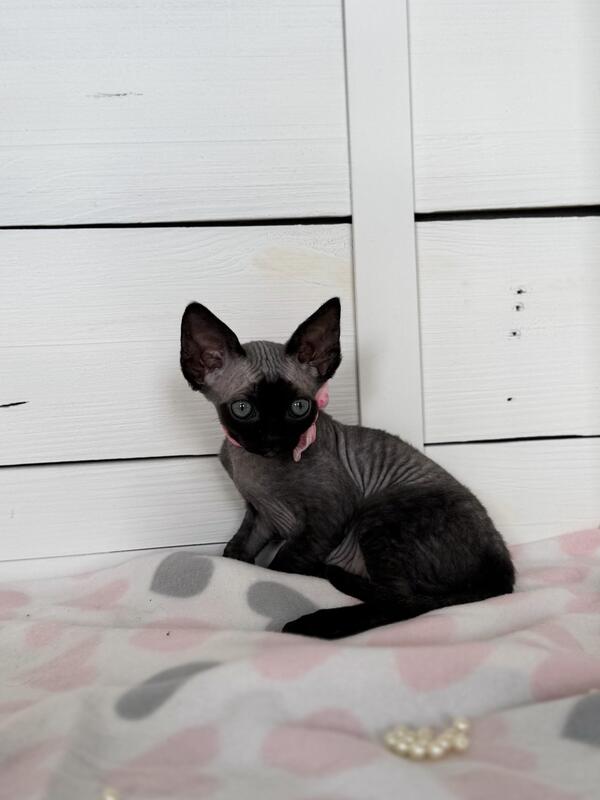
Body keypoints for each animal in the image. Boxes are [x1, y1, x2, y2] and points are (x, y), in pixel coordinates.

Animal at [180, 296, 515, 639]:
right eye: (243, 409)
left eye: (298, 408)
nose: (273, 438)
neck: (258, 469)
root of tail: (503, 567)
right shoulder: (261, 514)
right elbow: (237, 551)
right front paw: (234, 563)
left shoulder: (330, 512)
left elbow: (284, 564)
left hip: (381, 513)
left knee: (403, 602)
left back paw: (315, 622)